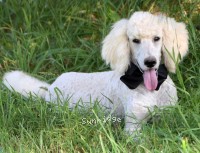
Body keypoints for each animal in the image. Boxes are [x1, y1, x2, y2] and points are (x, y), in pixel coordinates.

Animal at [2, 11, 188, 134]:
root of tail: (50, 89)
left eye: (157, 38)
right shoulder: (133, 126)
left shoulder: (170, 116)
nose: (150, 62)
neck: (149, 89)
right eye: (135, 40)